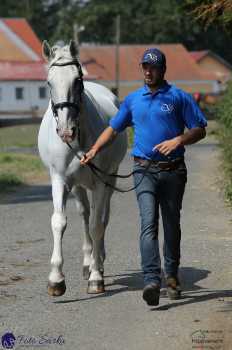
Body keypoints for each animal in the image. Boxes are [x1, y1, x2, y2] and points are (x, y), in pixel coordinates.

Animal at [38, 41, 128, 298]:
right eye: (48, 82)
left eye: (77, 80)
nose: (65, 130)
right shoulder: (59, 179)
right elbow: (59, 222)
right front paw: (56, 280)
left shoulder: (100, 182)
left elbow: (98, 224)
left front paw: (97, 278)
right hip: (77, 186)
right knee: (85, 214)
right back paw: (88, 262)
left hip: (110, 179)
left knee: (101, 217)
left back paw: (99, 262)